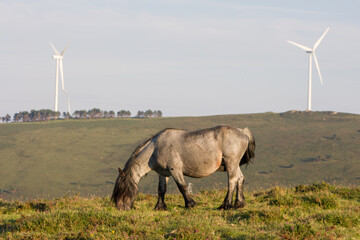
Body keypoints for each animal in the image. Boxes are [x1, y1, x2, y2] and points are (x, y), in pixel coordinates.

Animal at [111, 124, 255, 211]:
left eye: (121, 189)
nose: (120, 208)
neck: (156, 148)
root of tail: (242, 131)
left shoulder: (175, 170)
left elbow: (182, 187)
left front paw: (190, 204)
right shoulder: (163, 173)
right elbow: (161, 190)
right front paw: (159, 207)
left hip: (231, 163)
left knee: (232, 181)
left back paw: (225, 205)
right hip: (235, 165)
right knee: (240, 179)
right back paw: (239, 203)